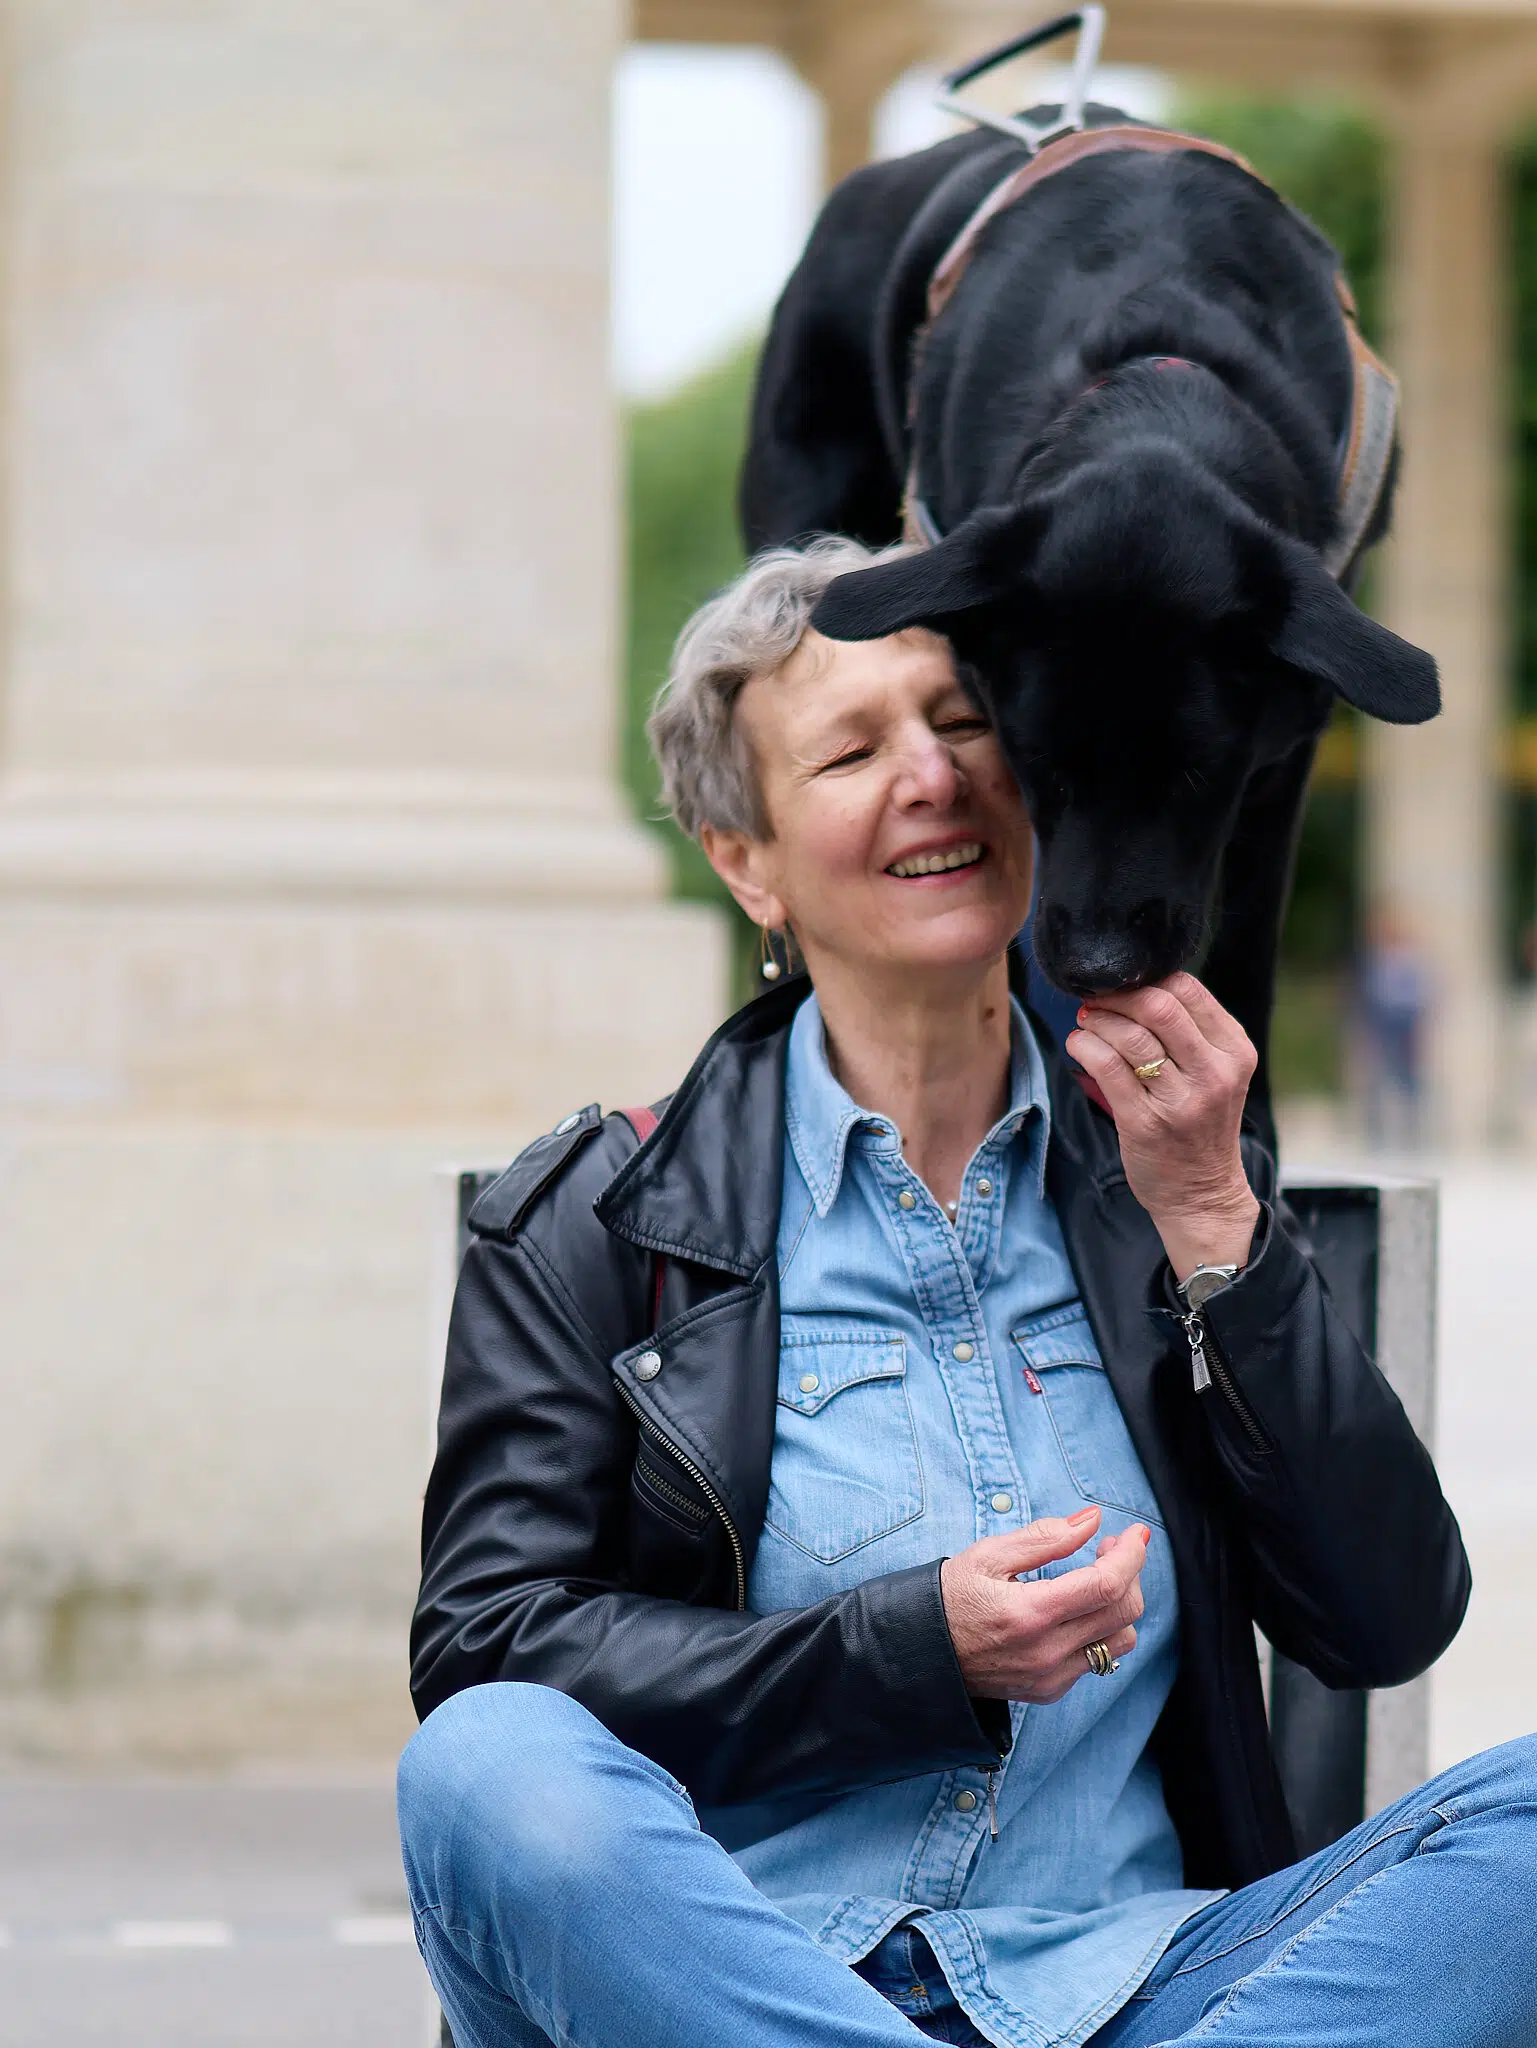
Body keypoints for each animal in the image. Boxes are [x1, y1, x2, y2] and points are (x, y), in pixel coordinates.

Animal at [741, 103, 1442, 1146]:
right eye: (1033, 761)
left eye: (1196, 773)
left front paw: (1245, 1129)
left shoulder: (1285, 755)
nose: (1100, 970)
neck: (1157, 371)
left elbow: (1245, 933)